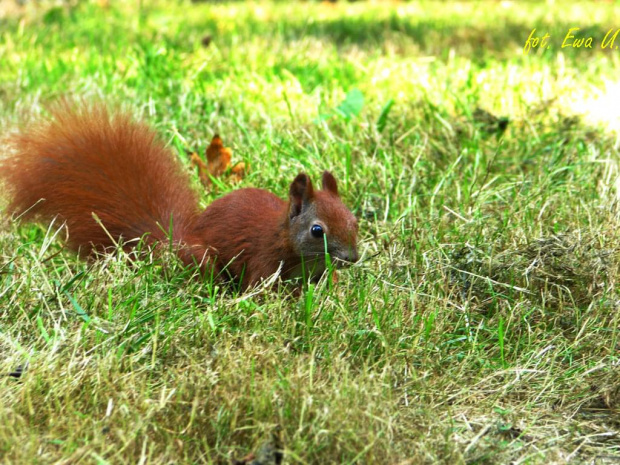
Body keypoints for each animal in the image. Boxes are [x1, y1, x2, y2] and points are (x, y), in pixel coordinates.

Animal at [0, 103, 358, 288]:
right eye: (317, 231)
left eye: (354, 220)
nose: (353, 258)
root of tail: (176, 239)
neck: (285, 239)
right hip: (202, 258)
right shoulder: (263, 261)